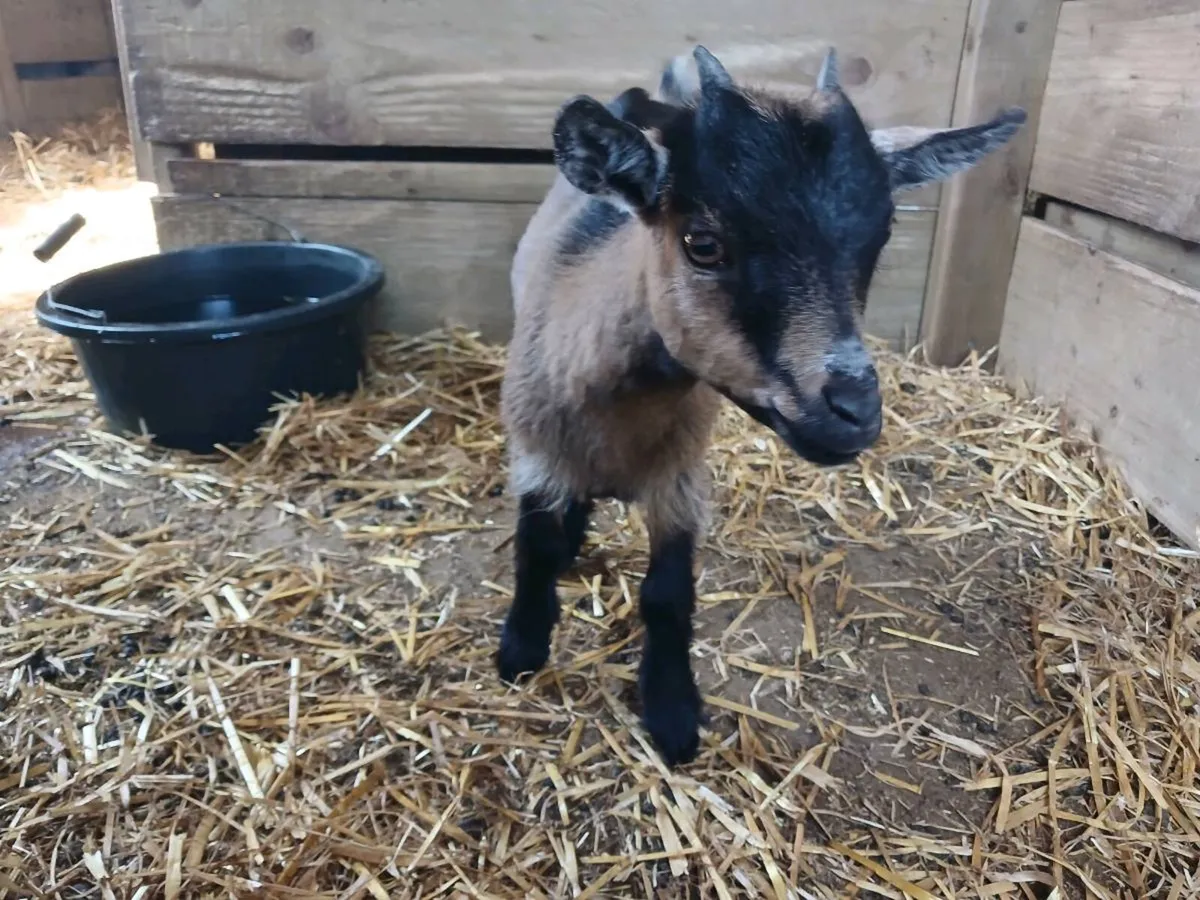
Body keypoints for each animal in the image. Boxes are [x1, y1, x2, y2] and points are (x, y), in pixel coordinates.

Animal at [496, 46, 1026, 766]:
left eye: (879, 237)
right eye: (703, 242)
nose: (855, 410)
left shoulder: (681, 478)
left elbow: (668, 594)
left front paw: (672, 711)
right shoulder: (533, 453)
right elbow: (538, 548)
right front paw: (520, 649)